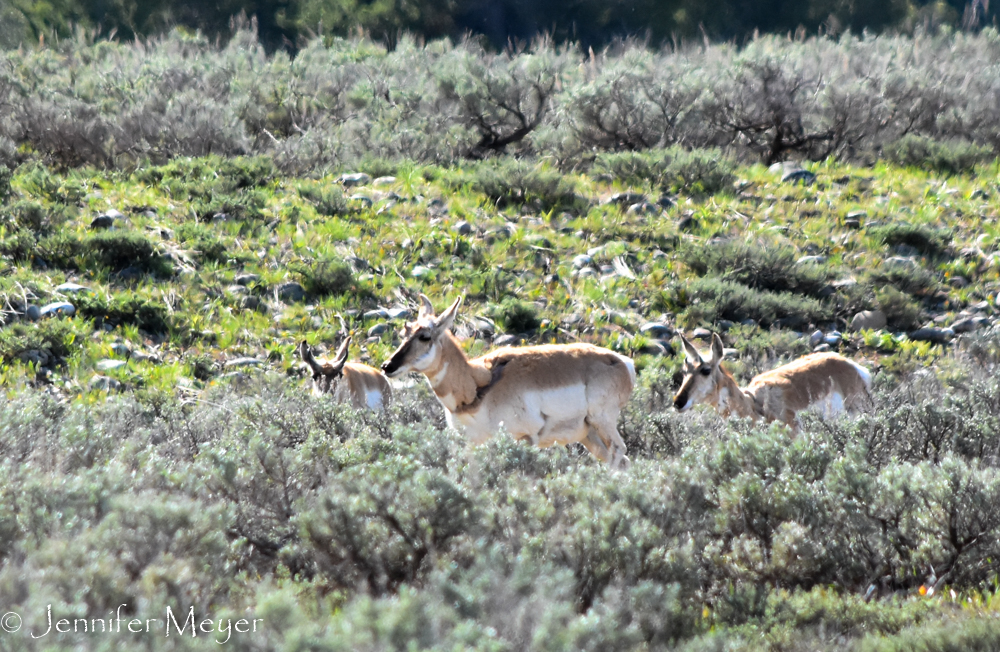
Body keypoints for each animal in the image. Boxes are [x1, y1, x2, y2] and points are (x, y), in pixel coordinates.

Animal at [378, 296, 636, 468]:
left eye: (424, 336)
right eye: (404, 333)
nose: (387, 366)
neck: (478, 383)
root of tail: (622, 361)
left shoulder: (525, 439)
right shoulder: (472, 445)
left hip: (602, 421)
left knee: (618, 452)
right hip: (588, 434)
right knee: (621, 460)